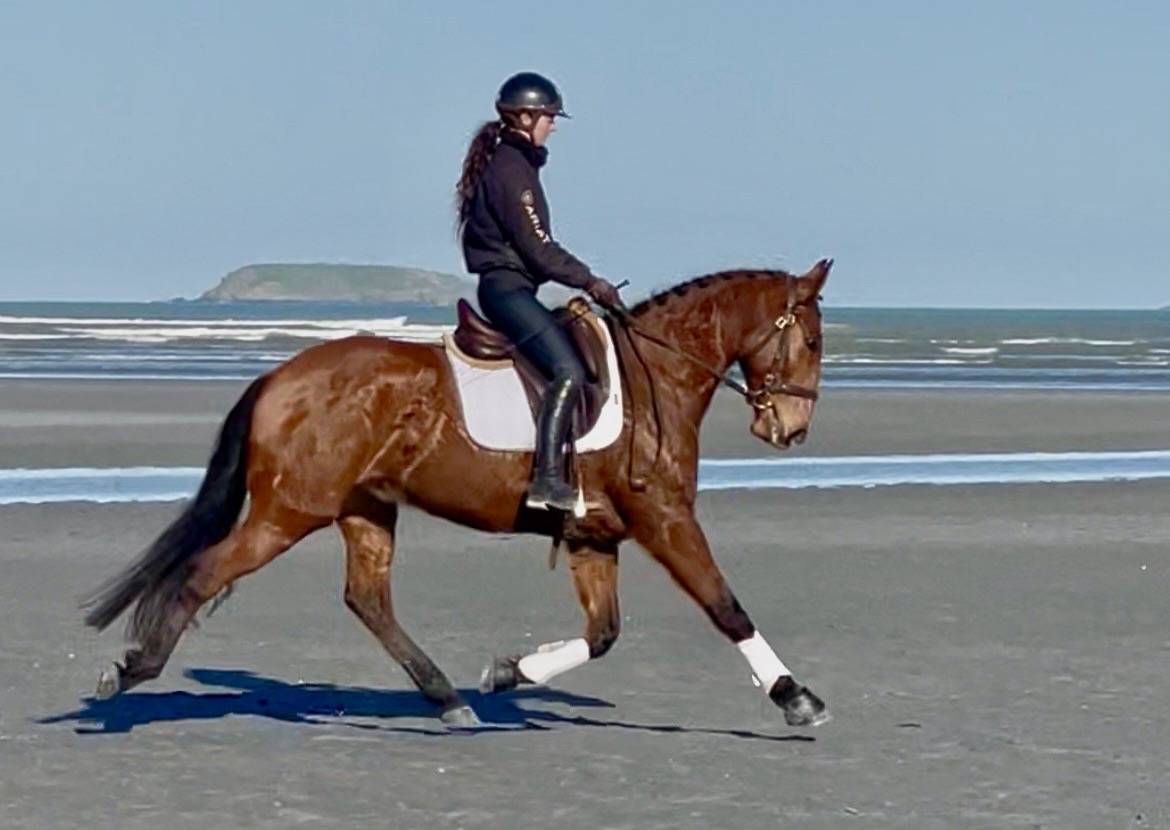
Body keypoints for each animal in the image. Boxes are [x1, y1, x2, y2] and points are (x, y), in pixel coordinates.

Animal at [83, 258, 833, 729]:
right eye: (814, 341)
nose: (791, 429)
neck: (659, 377)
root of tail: (278, 377)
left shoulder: (593, 536)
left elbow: (603, 634)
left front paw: (509, 672)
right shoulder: (665, 519)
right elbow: (725, 606)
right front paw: (795, 697)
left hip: (365, 508)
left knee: (369, 600)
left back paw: (447, 698)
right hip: (289, 511)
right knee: (207, 572)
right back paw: (131, 672)